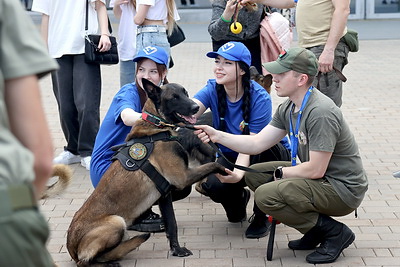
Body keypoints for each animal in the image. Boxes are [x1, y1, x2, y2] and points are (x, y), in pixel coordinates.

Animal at [67, 78, 227, 266]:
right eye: (174, 98)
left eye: (185, 93)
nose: (195, 107)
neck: (157, 125)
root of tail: (71, 246)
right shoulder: (182, 177)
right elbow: (213, 165)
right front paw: (226, 169)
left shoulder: (165, 194)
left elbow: (171, 224)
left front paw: (176, 250)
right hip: (117, 222)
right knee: (85, 261)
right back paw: (109, 260)